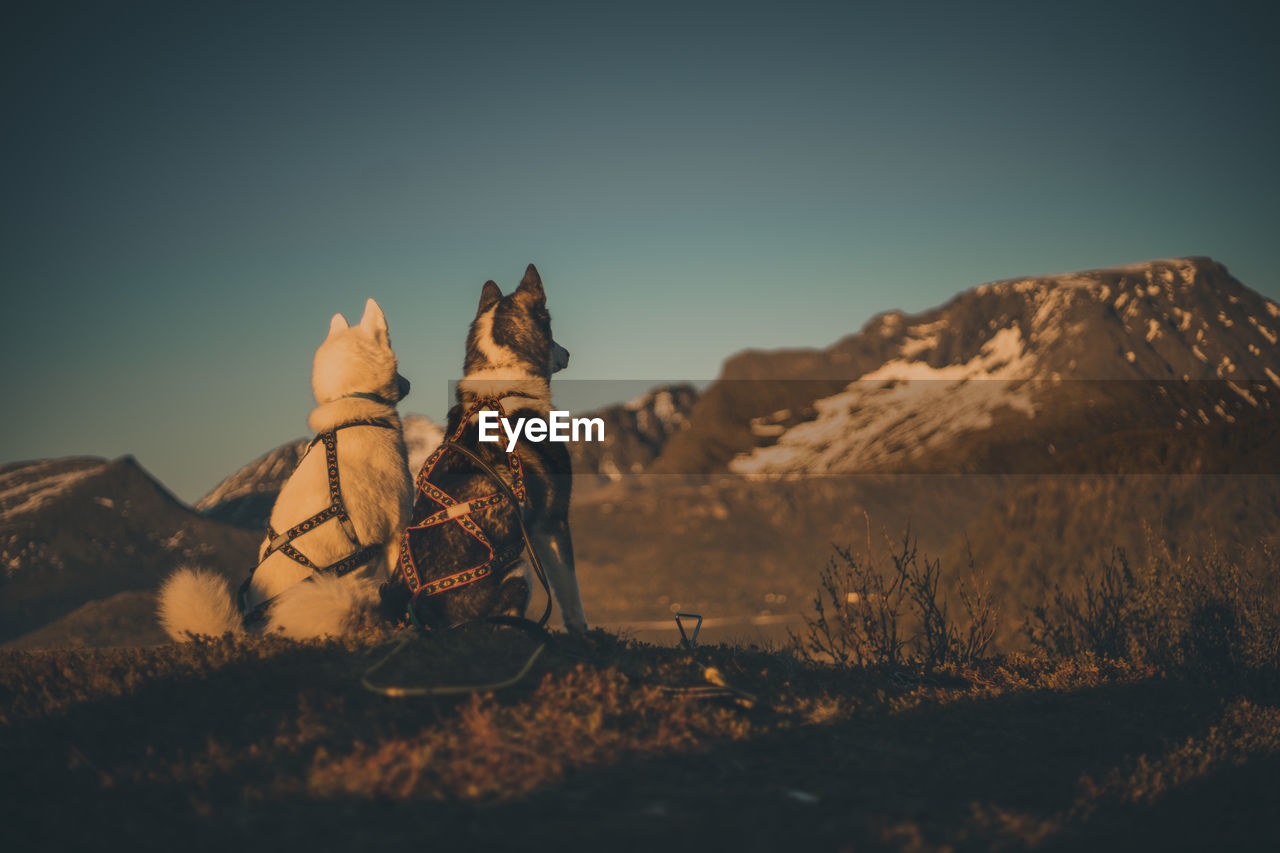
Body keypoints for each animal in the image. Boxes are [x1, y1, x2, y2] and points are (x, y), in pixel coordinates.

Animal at [157, 298, 412, 637]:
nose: (408, 383)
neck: (352, 404)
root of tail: (251, 631)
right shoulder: (398, 525)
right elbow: (405, 580)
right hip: (343, 595)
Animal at [384, 266, 588, 630]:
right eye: (551, 333)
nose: (567, 354)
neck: (500, 389)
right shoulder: (552, 521)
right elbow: (571, 597)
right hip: (520, 572)